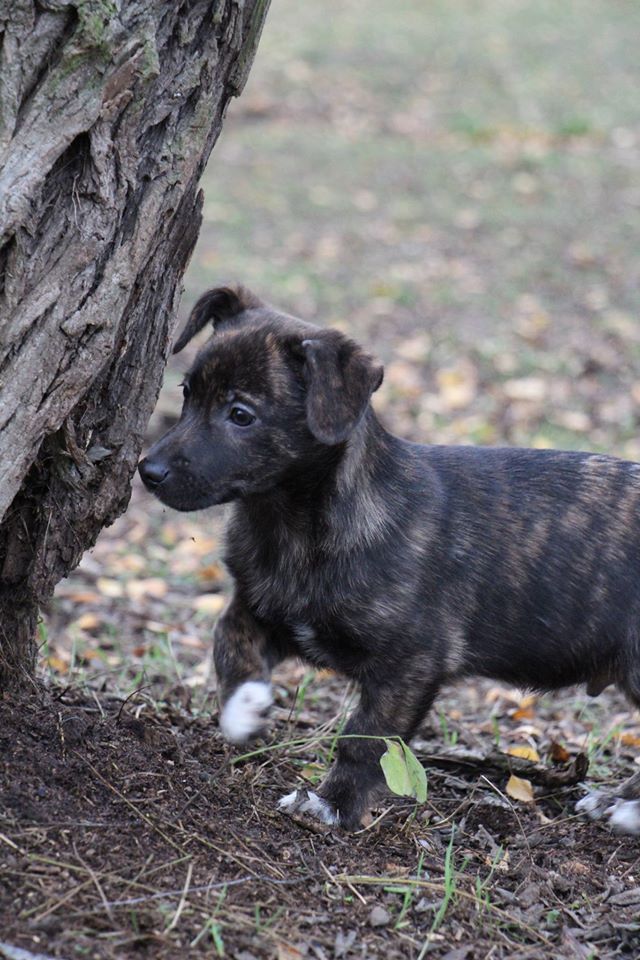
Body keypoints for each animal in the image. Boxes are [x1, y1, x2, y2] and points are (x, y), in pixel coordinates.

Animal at [139, 285, 640, 833]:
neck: (291, 525)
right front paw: (245, 709)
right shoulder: (264, 610)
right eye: (187, 393)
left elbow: (364, 739)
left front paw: (331, 805)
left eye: (241, 415)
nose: (147, 471)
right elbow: (228, 641)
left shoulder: (410, 663)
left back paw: (626, 808)